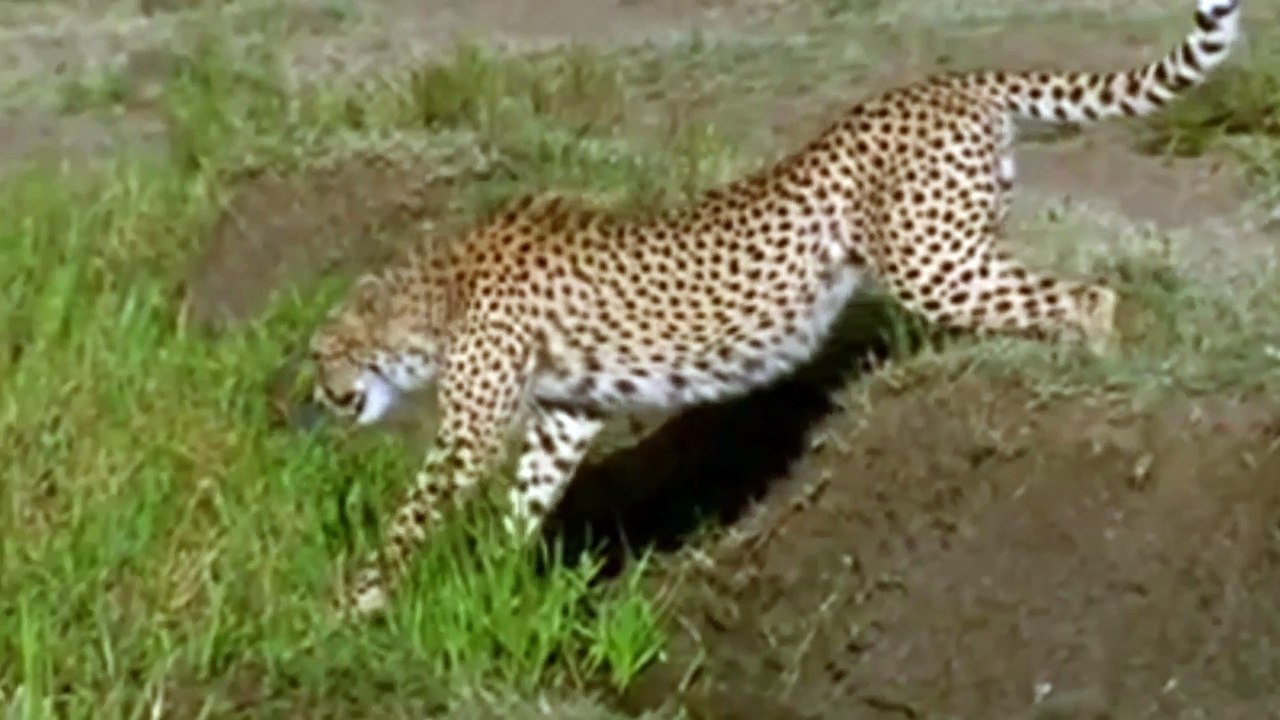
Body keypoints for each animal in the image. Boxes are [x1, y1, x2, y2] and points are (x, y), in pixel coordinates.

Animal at [307, 0, 1242, 618]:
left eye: (323, 352)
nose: (318, 394)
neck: (432, 294)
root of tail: (950, 82)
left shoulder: (475, 427)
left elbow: (415, 514)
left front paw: (361, 600)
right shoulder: (567, 412)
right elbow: (523, 500)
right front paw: (492, 578)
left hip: (935, 262)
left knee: (1089, 295)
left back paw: (1102, 372)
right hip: (955, 247)